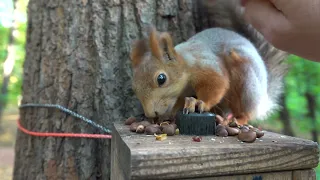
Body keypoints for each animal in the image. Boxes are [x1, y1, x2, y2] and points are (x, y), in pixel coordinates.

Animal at [129, 0, 288, 125]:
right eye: (134, 87)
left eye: (161, 79)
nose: (151, 114)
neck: (186, 63)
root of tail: (263, 98)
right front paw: (171, 113)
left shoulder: (207, 65)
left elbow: (217, 84)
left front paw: (200, 102)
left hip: (247, 82)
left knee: (247, 111)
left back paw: (237, 119)